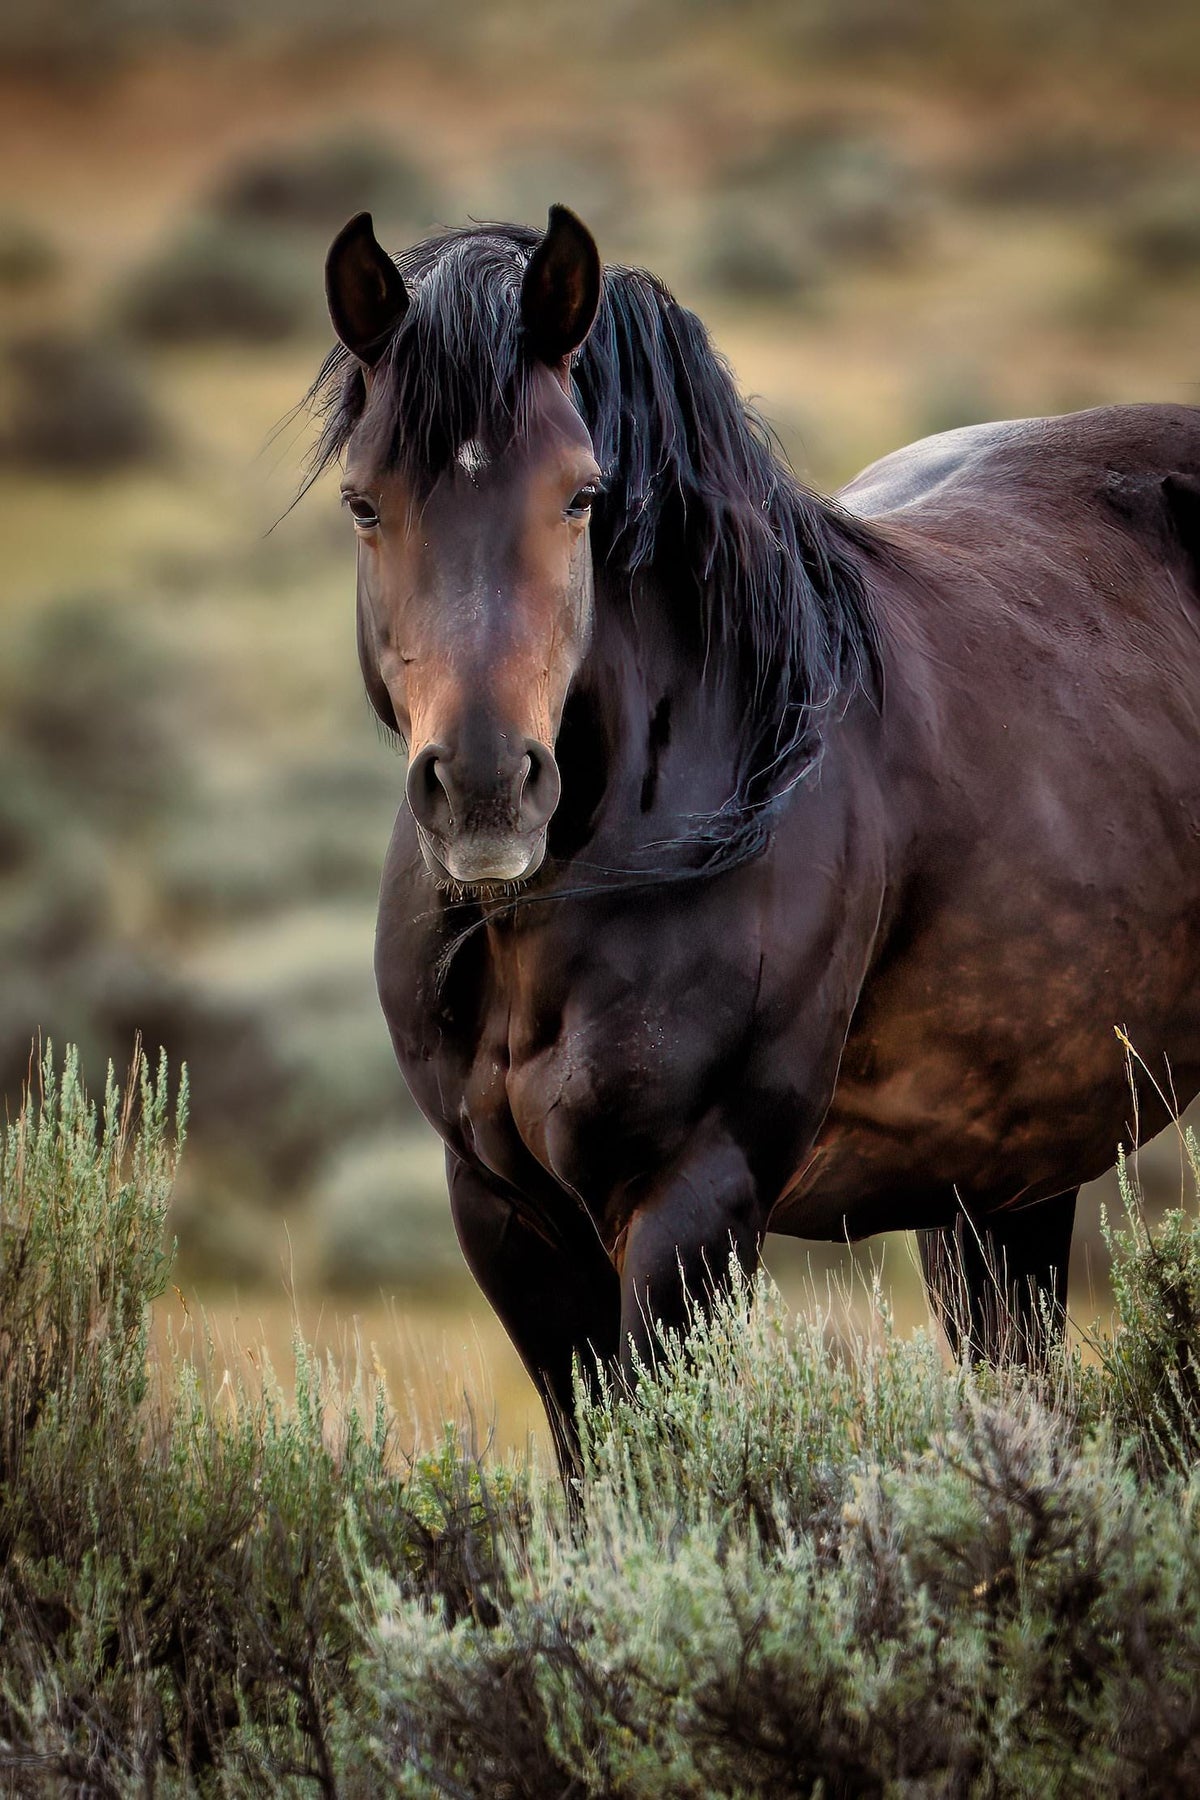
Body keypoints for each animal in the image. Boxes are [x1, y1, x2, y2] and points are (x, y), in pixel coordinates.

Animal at [313, 204, 1200, 1474]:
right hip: (1008, 1175)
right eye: (363, 501)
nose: (487, 791)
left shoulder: (692, 1205)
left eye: (580, 495)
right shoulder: (506, 1214)